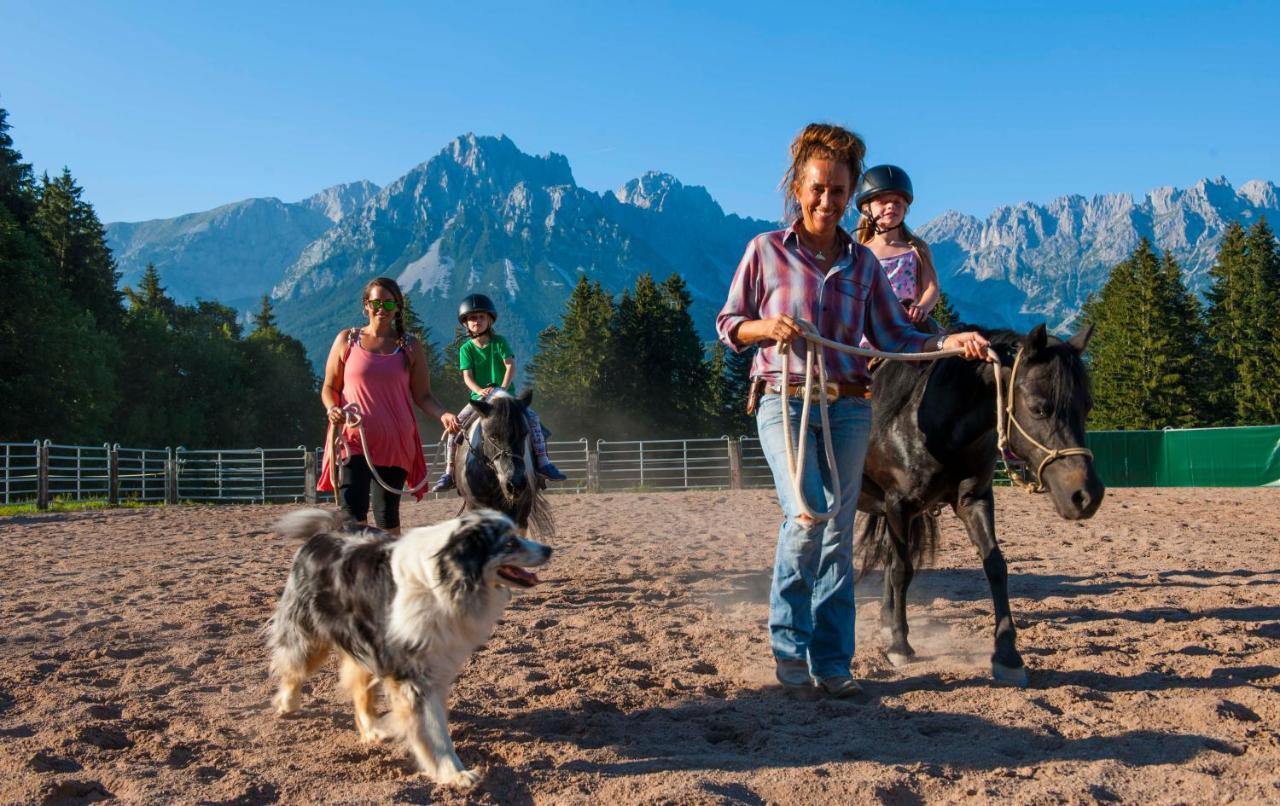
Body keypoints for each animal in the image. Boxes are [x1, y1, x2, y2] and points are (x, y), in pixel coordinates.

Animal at [860, 324, 1100, 685]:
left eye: (1086, 406)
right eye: (1039, 407)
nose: (1087, 495)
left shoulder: (974, 500)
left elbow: (995, 566)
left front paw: (1007, 654)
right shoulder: (897, 504)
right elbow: (902, 570)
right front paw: (901, 645)